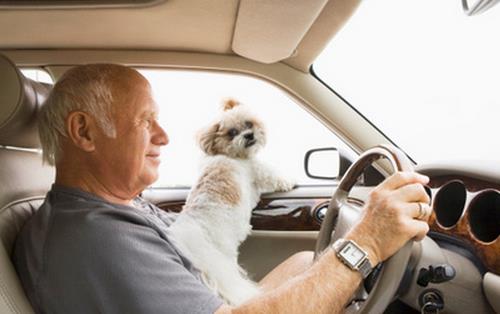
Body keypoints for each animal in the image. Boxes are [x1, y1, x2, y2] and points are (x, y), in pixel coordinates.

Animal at [169, 100, 292, 304]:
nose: (249, 134)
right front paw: (289, 181)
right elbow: (273, 176)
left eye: (249, 124)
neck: (228, 154)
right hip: (225, 252)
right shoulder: (257, 169)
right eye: (232, 133)